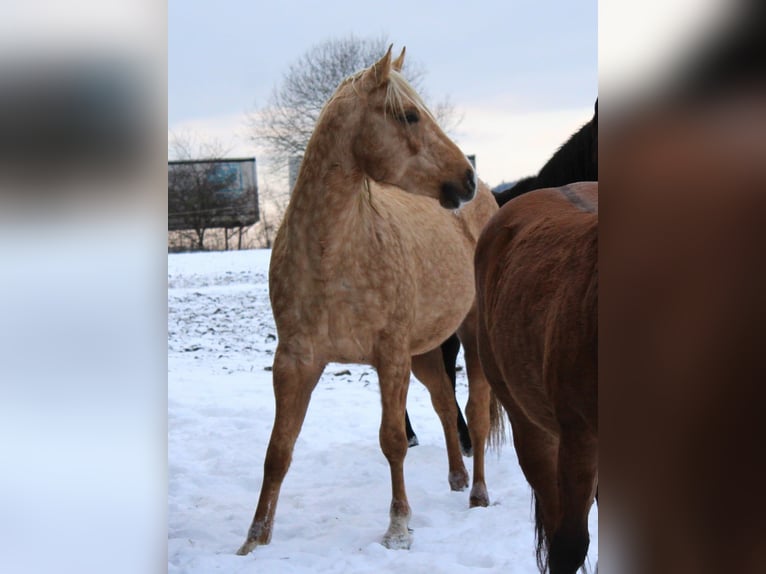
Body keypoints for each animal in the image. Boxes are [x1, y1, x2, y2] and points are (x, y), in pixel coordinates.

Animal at [236, 46, 498, 556]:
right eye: (409, 115)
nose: (467, 180)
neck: (333, 252)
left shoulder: (390, 356)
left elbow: (393, 440)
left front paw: (398, 529)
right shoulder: (295, 361)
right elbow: (278, 451)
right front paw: (253, 541)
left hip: (472, 332)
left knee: (475, 412)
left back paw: (478, 494)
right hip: (425, 350)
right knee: (444, 403)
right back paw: (457, 478)